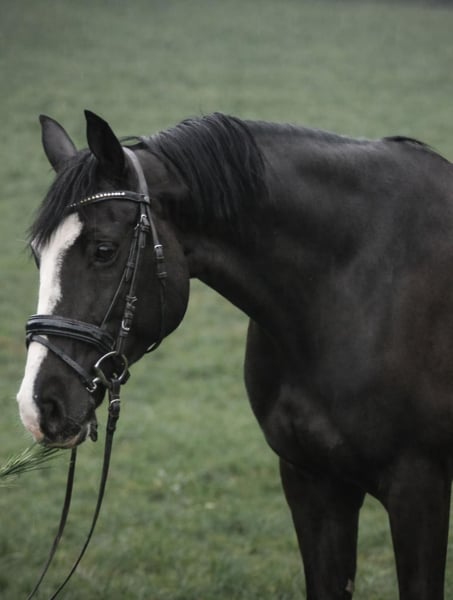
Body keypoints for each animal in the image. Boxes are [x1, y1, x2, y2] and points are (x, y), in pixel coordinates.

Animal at [16, 110, 453, 599]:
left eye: (104, 250)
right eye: (37, 255)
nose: (38, 406)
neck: (352, 285)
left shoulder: (418, 488)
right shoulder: (312, 481)